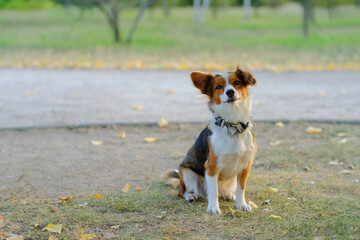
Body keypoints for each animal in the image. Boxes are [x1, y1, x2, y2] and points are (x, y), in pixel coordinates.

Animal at [163, 66, 256, 215]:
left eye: (236, 82)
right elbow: (213, 192)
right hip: (188, 174)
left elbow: (241, 189)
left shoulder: (245, 166)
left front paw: (241, 204)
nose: (230, 92)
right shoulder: (211, 167)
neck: (232, 125)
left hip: (231, 180)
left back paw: (229, 195)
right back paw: (191, 196)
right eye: (219, 87)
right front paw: (213, 207)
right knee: (184, 192)